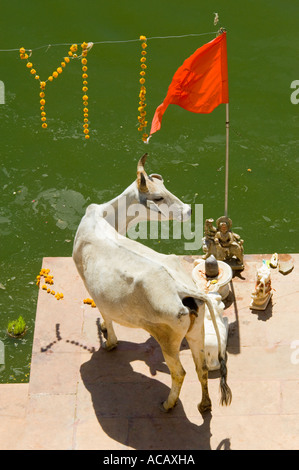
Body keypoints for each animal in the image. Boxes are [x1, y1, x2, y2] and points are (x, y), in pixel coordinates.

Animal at [72, 153, 232, 412]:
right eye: (159, 196)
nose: (188, 210)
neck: (103, 218)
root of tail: (183, 289)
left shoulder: (95, 292)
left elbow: (107, 317)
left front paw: (109, 341)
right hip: (196, 333)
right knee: (201, 368)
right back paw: (204, 405)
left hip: (168, 340)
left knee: (180, 372)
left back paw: (168, 404)